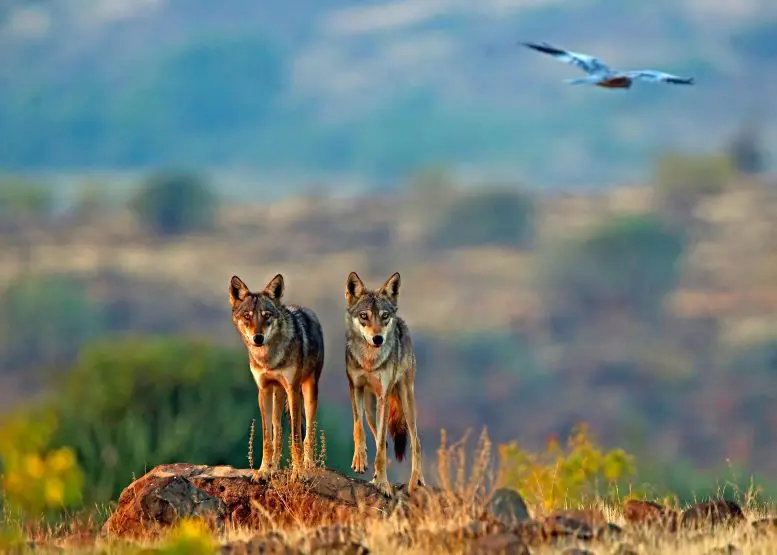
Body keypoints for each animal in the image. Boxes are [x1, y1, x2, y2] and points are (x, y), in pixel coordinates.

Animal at [229, 273, 324, 479]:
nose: (258, 338)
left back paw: (308, 464)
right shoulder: (263, 390)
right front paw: (264, 471)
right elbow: (267, 438)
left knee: (308, 434)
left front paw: (298, 472)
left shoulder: (293, 390)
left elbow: (296, 437)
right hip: (277, 396)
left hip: (308, 392)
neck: (269, 358)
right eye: (247, 316)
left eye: (267, 316)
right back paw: (274, 468)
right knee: (278, 434)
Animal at [344, 271, 426, 497]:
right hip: (371, 410)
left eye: (384, 316)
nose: (378, 338)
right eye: (364, 316)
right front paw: (360, 461)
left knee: (416, 441)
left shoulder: (384, 397)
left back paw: (416, 481)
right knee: (385, 442)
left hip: (405, 401)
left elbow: (380, 445)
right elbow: (358, 428)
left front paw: (383, 484)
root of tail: (402, 323)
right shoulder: (355, 389)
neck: (370, 361)